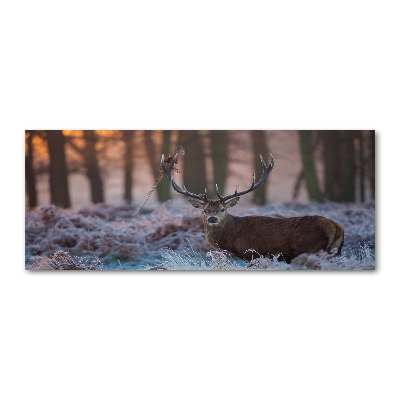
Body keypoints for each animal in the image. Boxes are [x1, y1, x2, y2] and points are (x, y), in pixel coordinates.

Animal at [160, 153, 344, 262]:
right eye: (205, 210)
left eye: (222, 209)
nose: (212, 218)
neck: (232, 240)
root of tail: (337, 228)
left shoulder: (252, 253)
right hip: (334, 251)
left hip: (311, 248)